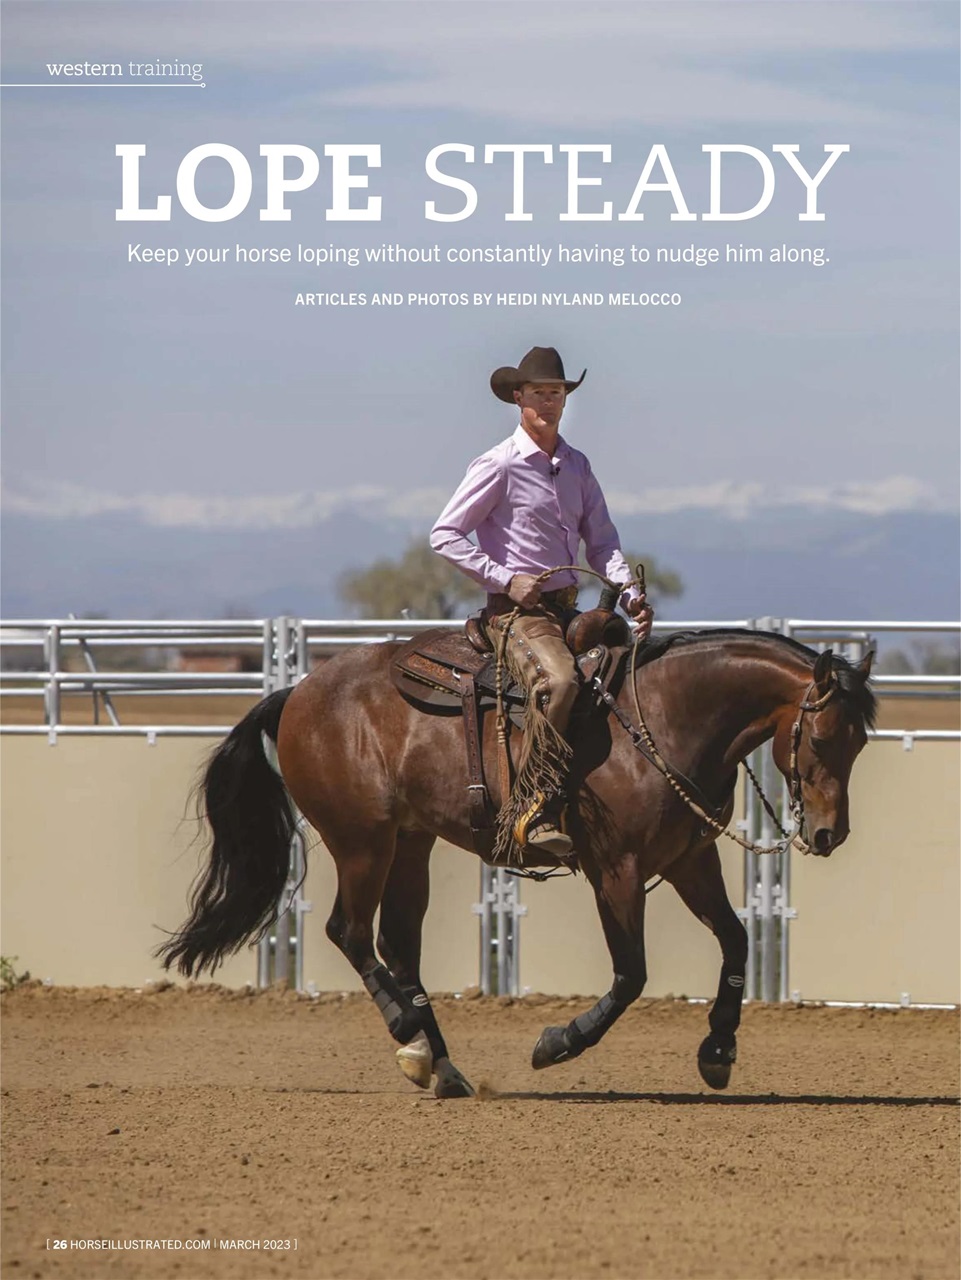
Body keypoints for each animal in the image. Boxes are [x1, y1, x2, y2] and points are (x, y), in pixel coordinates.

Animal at [158, 628, 875, 1098]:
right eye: (819, 737)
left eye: (861, 742)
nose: (830, 833)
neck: (665, 720)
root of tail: (299, 693)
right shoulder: (616, 869)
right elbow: (631, 976)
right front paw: (557, 1043)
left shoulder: (689, 862)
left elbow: (736, 939)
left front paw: (719, 1048)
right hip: (363, 841)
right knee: (350, 932)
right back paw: (410, 1034)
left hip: (411, 844)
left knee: (398, 945)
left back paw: (440, 1066)